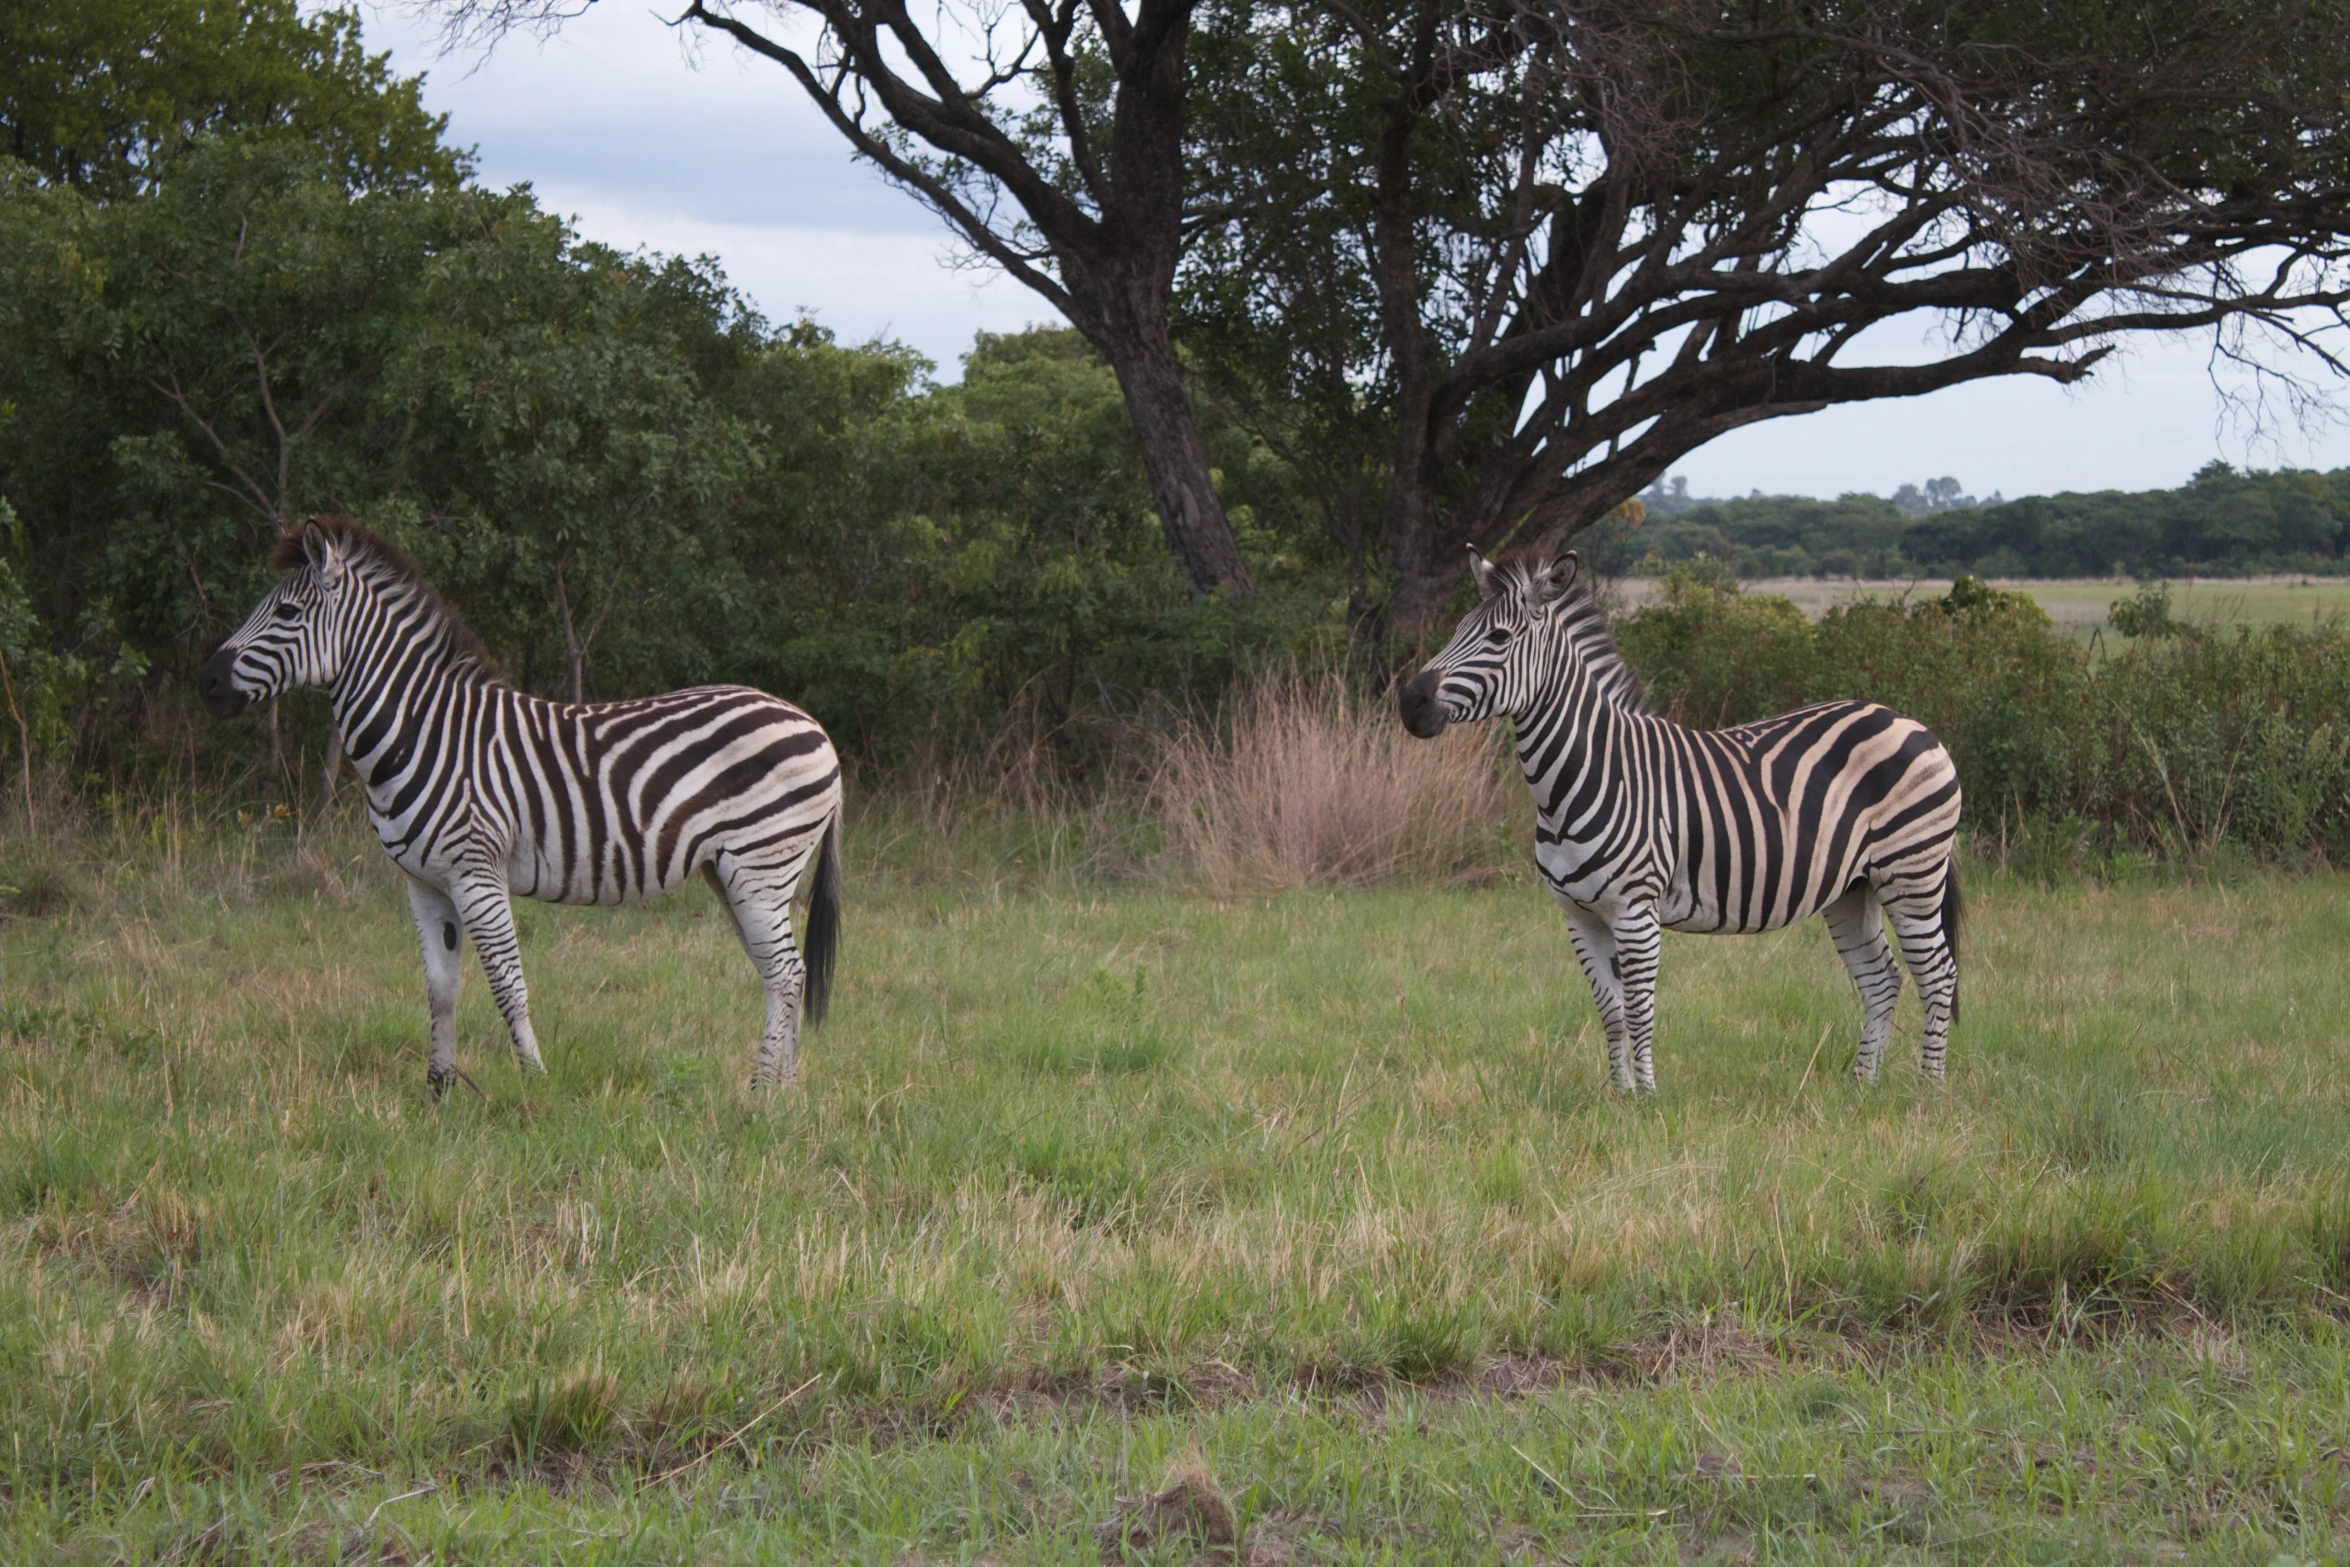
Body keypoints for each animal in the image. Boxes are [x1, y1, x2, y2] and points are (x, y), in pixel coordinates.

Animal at [199, 521, 845, 1099]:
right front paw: (437, 1092)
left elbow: (508, 983)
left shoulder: (476, 873)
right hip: (732, 873)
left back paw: (761, 1093)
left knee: (785, 971)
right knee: (784, 974)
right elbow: (441, 989)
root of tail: (815, 726)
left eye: (287, 613)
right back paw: (786, 1092)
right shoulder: (423, 883)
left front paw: (535, 1082)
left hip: (760, 865)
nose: (206, 684)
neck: (426, 732)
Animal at [1391, 549, 1964, 1090]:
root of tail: (1907, 721)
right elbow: (1611, 1012)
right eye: (1457, 631)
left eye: (1499, 636)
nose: (1410, 701)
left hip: (1912, 874)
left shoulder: (1636, 912)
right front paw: (1618, 1097)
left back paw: (1927, 1089)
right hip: (1853, 887)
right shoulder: (1579, 916)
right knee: (1882, 978)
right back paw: (1862, 1085)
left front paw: (1647, 1097)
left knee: (1938, 975)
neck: (1584, 777)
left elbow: (1640, 1011)